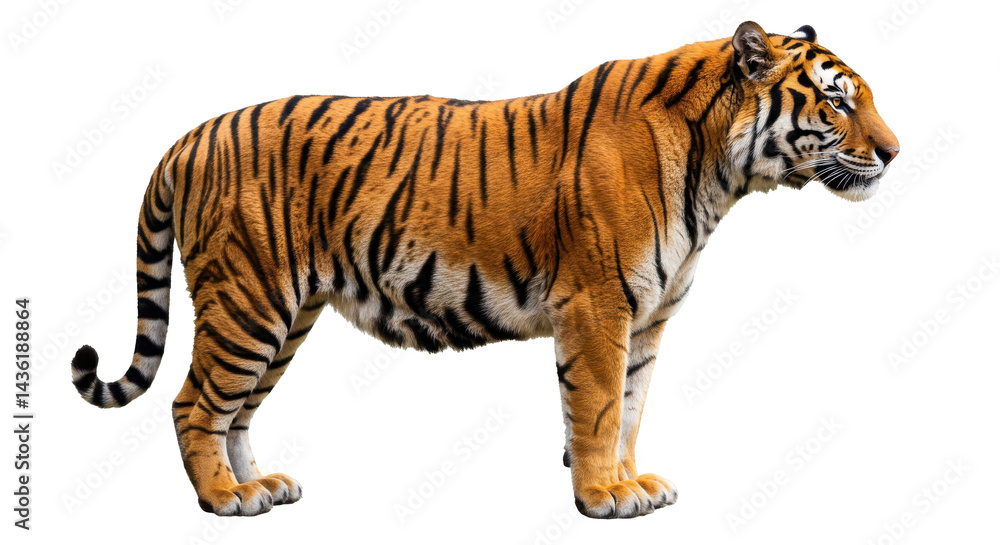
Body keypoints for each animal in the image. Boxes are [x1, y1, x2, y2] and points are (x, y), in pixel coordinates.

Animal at [70, 21, 898, 518]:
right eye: (836, 102)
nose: (894, 151)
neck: (719, 175)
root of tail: (191, 134)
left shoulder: (649, 317)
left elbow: (631, 408)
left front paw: (633, 481)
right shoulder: (598, 306)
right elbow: (599, 408)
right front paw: (602, 495)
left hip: (286, 315)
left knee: (236, 408)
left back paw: (259, 485)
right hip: (249, 301)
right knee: (192, 403)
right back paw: (224, 499)